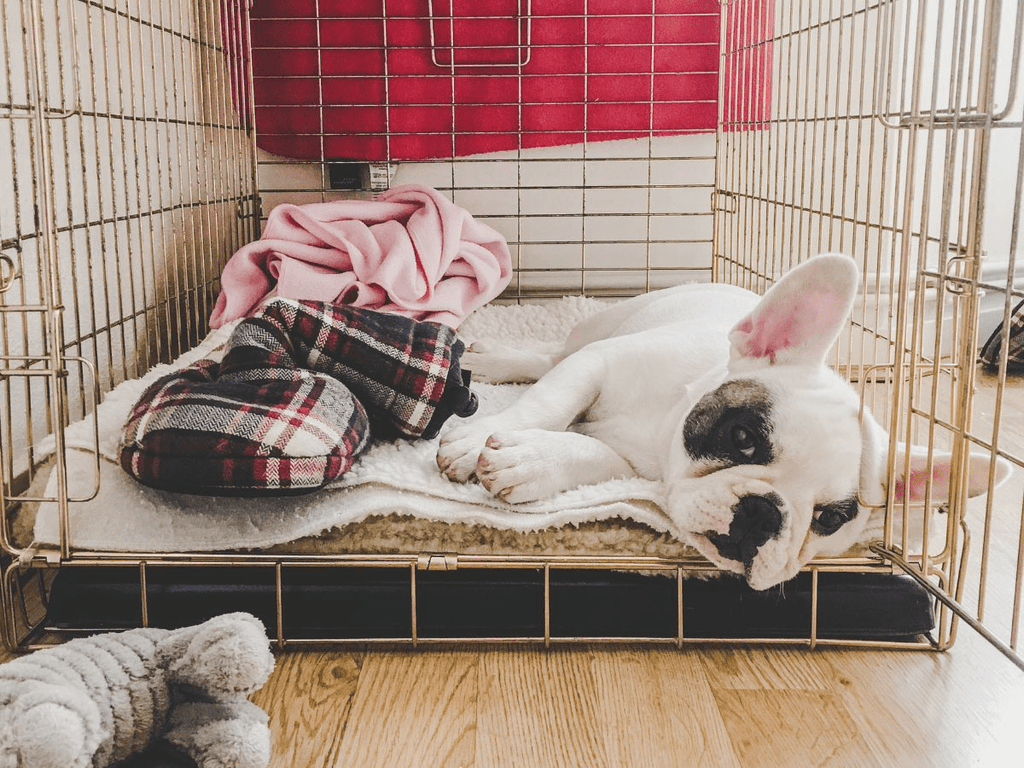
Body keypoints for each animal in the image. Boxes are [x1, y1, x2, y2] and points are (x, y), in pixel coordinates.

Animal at [436, 256, 1011, 593]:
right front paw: (473, 442)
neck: (663, 428)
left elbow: (591, 455)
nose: (762, 514)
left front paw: (530, 462)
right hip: (597, 329)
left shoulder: (633, 464)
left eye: (831, 519)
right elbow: (549, 400)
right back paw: (496, 360)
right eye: (743, 437)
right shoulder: (597, 364)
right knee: (550, 358)